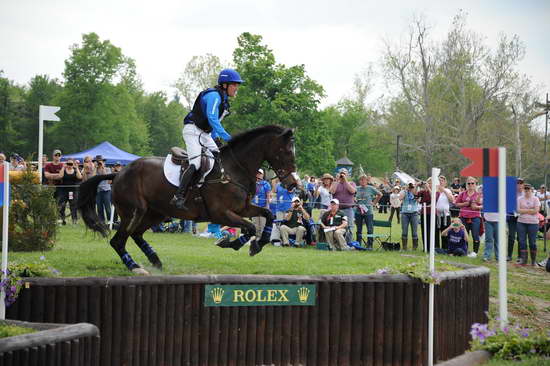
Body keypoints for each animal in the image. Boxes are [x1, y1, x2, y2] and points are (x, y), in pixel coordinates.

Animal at [76, 124, 302, 274]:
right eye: (286, 152)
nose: (293, 184)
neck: (234, 169)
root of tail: (118, 173)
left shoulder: (243, 209)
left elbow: (268, 215)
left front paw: (259, 243)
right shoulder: (221, 214)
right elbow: (251, 227)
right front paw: (233, 243)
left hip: (155, 213)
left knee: (136, 235)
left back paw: (155, 260)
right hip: (134, 212)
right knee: (118, 240)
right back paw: (135, 266)